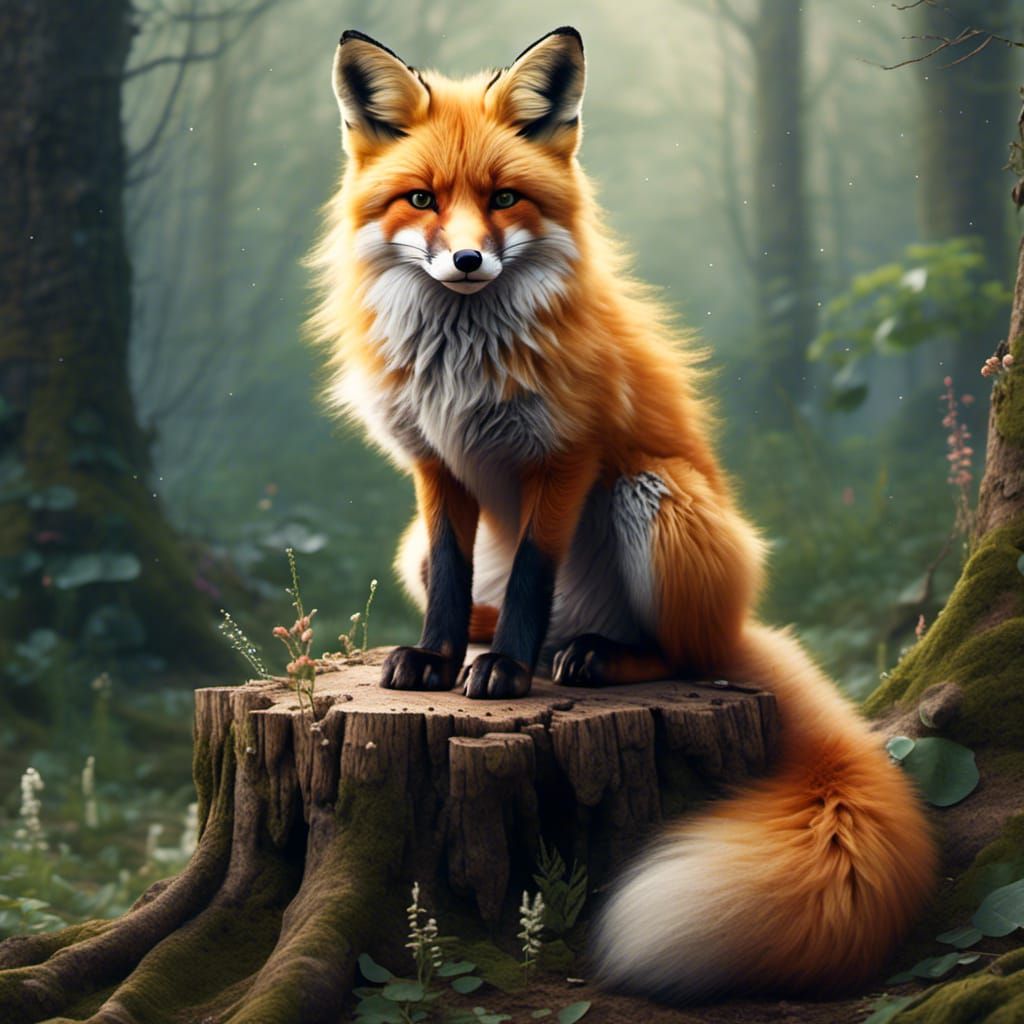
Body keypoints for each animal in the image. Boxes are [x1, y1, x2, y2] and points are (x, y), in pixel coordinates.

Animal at [308, 26, 936, 1002]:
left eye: (504, 198)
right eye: (421, 199)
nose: (466, 262)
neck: (462, 358)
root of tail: (746, 620)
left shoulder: (564, 457)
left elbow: (534, 572)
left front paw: (507, 673)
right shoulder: (434, 469)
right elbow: (453, 575)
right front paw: (440, 659)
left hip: (656, 498)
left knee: (689, 656)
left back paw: (589, 658)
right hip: (415, 545)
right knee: (489, 595)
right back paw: (496, 640)